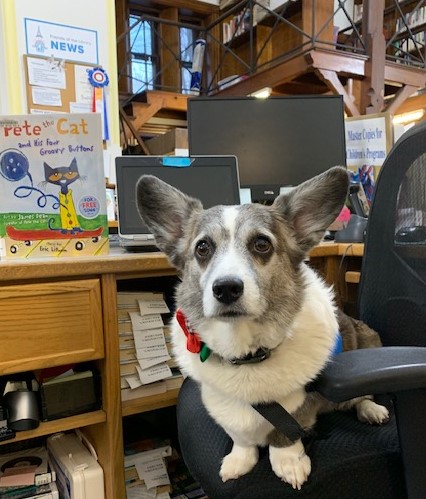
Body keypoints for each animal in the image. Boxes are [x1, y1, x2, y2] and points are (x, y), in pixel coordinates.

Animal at [136, 169, 390, 492]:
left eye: (261, 244)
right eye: (203, 247)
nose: (226, 288)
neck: (247, 354)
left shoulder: (298, 406)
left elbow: (286, 435)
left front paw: (288, 462)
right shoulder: (224, 403)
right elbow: (241, 437)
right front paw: (240, 459)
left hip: (368, 339)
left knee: (361, 398)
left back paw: (372, 410)